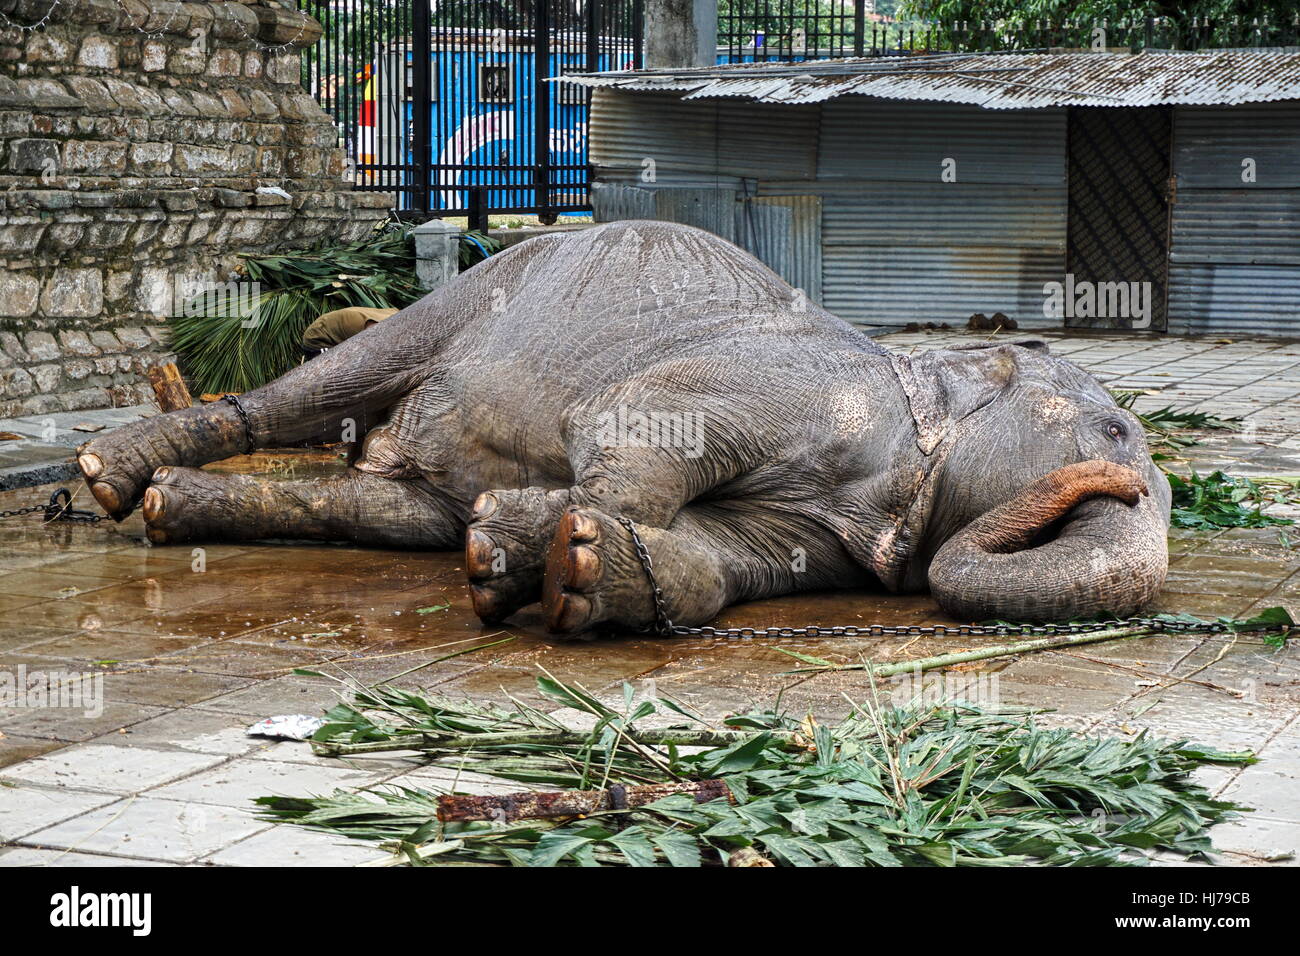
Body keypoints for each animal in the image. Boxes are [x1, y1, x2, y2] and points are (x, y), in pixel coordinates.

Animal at [81, 217, 1180, 634]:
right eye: (1115, 433)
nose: (1132, 482)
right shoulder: (781, 385)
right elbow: (639, 435)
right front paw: (532, 552)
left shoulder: (824, 527)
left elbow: (723, 562)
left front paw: (556, 564)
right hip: (470, 295)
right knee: (319, 389)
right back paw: (104, 473)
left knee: (386, 511)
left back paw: (173, 507)